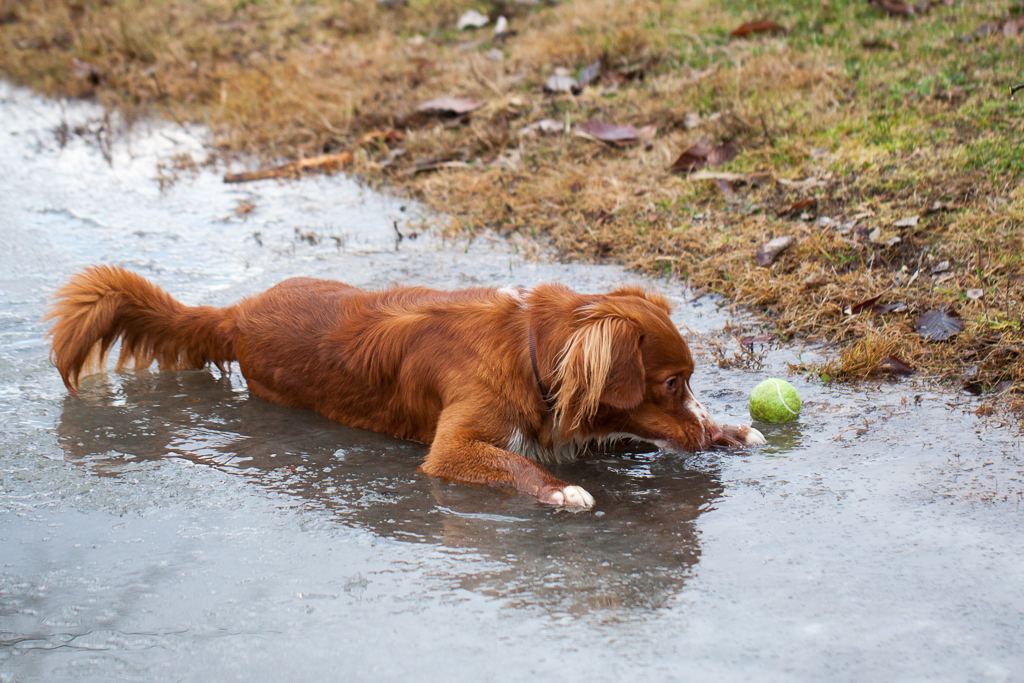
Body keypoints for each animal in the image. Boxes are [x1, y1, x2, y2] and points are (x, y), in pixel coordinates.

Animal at [48, 266, 765, 507]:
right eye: (670, 382)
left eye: (688, 381)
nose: (701, 429)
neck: (533, 350)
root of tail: (238, 313)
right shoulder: (455, 447)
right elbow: (517, 463)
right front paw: (562, 491)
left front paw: (730, 428)